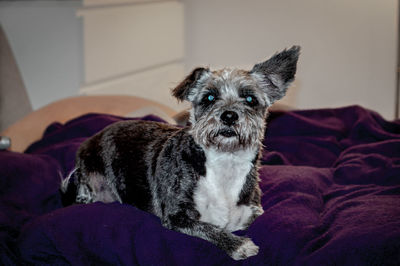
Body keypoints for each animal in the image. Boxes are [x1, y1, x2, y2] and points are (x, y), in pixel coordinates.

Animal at [61, 45, 300, 260]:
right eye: (209, 98)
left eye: (250, 99)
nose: (229, 116)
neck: (224, 162)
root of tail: (89, 141)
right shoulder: (176, 217)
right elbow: (209, 228)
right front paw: (238, 245)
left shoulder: (253, 210)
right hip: (89, 187)